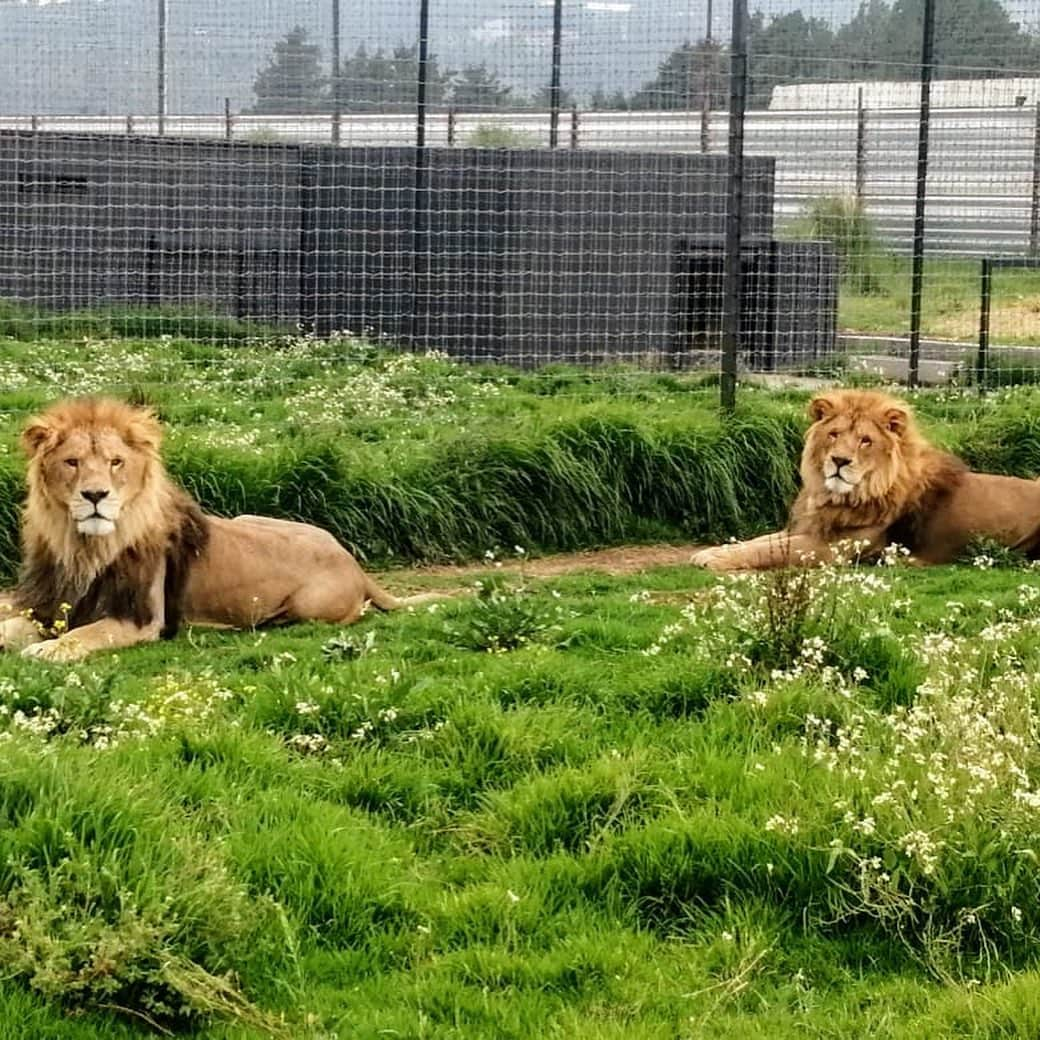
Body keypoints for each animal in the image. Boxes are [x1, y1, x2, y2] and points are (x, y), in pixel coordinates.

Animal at [0, 393, 426, 661]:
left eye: (115, 462)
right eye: (72, 462)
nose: (95, 495)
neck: (83, 546)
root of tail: (352, 561)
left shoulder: (140, 620)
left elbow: (84, 634)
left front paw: (46, 650)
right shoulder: (49, 606)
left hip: (308, 606)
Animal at [690, 388, 1040, 574]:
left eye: (865, 441)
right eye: (834, 434)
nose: (839, 461)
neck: (837, 497)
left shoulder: (831, 549)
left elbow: (769, 551)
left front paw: (713, 559)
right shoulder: (810, 528)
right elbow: (759, 541)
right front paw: (712, 551)